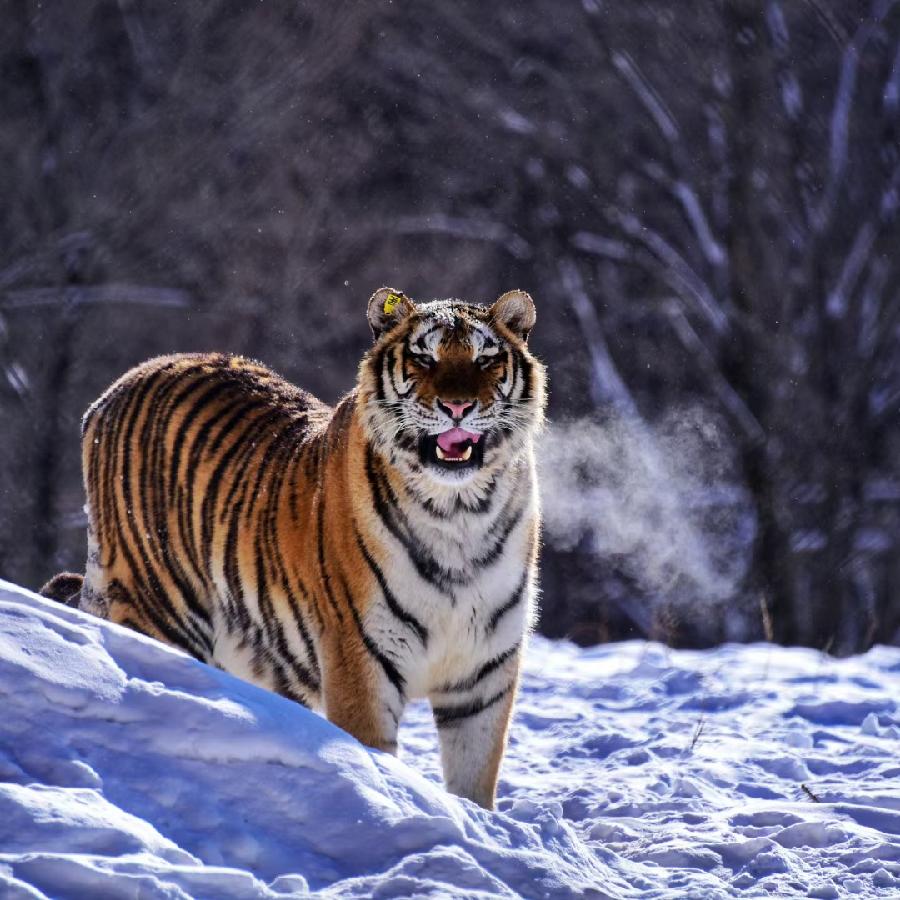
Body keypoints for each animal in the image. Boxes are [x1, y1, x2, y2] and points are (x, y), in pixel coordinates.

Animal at [41, 287, 546, 810]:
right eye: (424, 357)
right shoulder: (361, 661)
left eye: (485, 358)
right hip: (159, 610)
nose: (457, 407)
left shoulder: (483, 676)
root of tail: (115, 390)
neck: (459, 513)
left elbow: (475, 782)